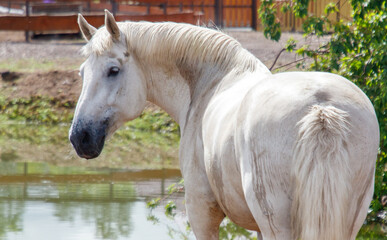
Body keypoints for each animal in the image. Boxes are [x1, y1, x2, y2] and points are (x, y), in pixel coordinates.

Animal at [69, 10, 378, 240]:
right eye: (83, 73)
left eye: (113, 70)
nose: (79, 137)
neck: (210, 82)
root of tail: (320, 106)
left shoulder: (201, 212)